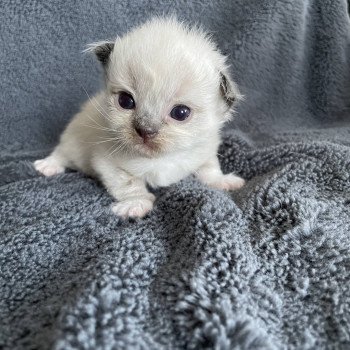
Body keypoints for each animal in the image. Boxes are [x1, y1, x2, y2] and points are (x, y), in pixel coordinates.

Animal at [34, 17, 245, 219]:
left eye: (181, 113)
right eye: (125, 101)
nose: (145, 130)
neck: (162, 158)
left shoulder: (205, 151)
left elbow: (210, 170)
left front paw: (223, 181)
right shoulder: (108, 163)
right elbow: (130, 184)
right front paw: (136, 204)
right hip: (73, 142)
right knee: (61, 153)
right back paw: (47, 166)